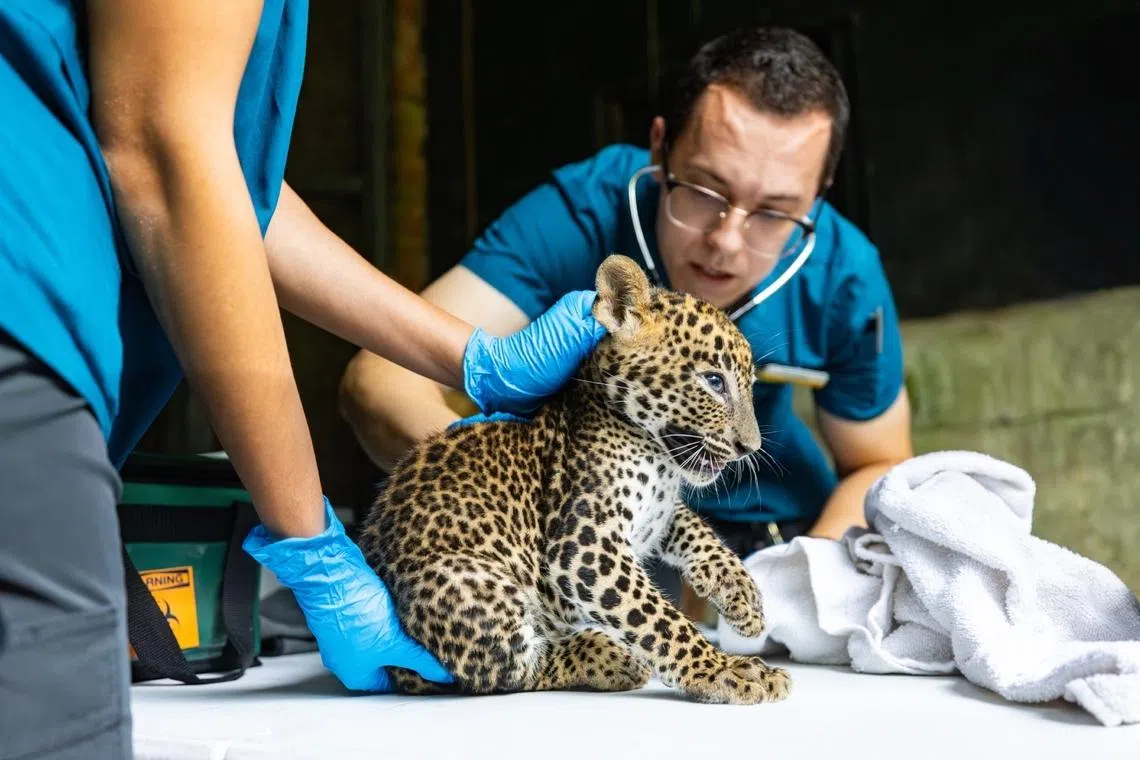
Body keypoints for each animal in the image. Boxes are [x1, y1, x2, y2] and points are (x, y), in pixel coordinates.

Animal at [357, 253, 791, 705]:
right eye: (713, 381)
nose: (750, 447)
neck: (658, 459)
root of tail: (395, 670)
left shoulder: (658, 512)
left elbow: (697, 530)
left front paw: (744, 599)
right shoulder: (583, 544)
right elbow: (658, 619)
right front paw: (723, 670)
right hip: (466, 584)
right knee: (508, 670)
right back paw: (610, 657)